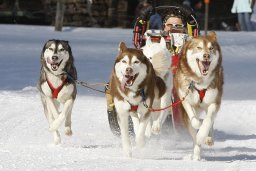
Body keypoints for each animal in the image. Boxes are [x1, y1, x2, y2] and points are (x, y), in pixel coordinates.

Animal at [174, 31, 224, 160]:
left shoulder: (214, 102)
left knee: (210, 122)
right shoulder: (186, 101)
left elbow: (208, 121)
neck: (200, 83)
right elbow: (195, 122)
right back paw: (196, 156)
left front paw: (202, 135)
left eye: (211, 48)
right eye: (199, 47)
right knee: (193, 135)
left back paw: (208, 138)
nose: (206, 56)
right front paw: (198, 126)